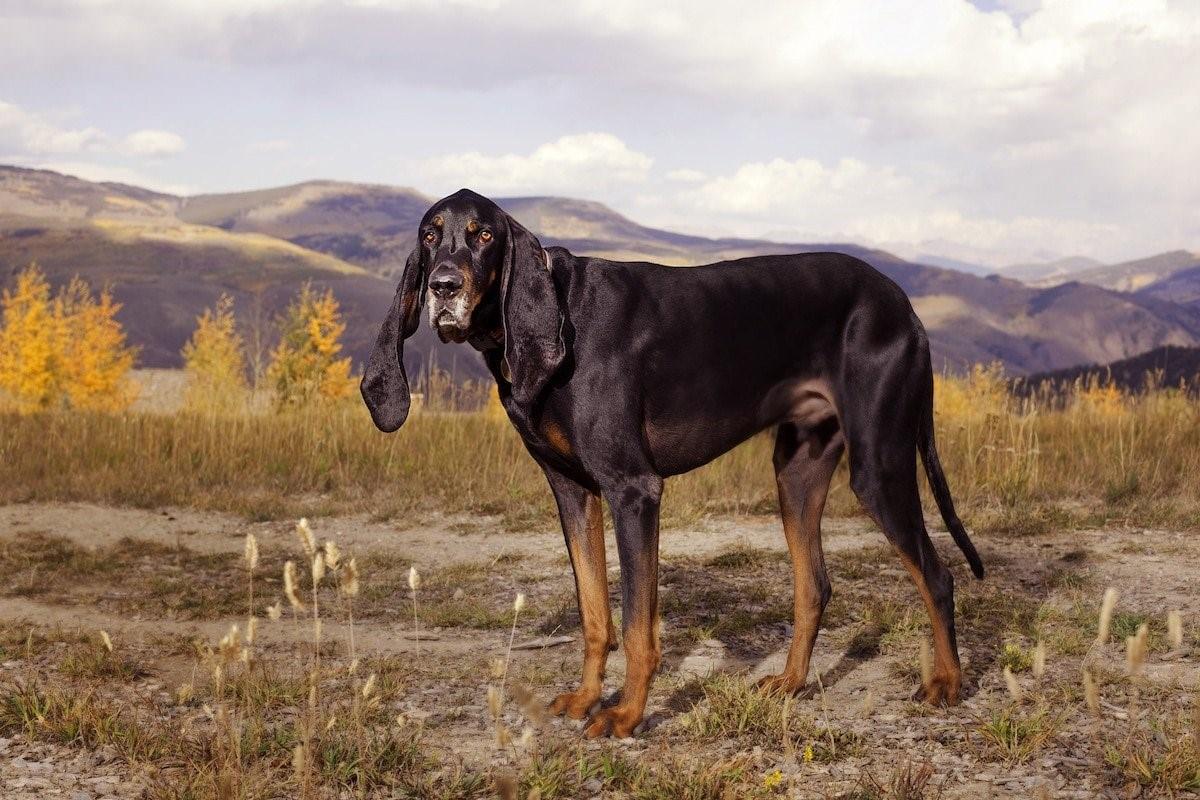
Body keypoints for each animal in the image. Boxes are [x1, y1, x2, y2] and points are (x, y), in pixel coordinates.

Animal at [362, 188, 984, 738]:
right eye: (429, 236)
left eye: (484, 235)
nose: (443, 286)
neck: (557, 311)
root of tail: (903, 305)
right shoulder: (572, 491)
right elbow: (595, 613)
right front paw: (587, 697)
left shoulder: (633, 490)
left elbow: (638, 626)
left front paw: (626, 715)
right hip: (797, 473)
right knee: (815, 586)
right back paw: (790, 682)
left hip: (878, 467)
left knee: (938, 575)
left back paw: (948, 683)